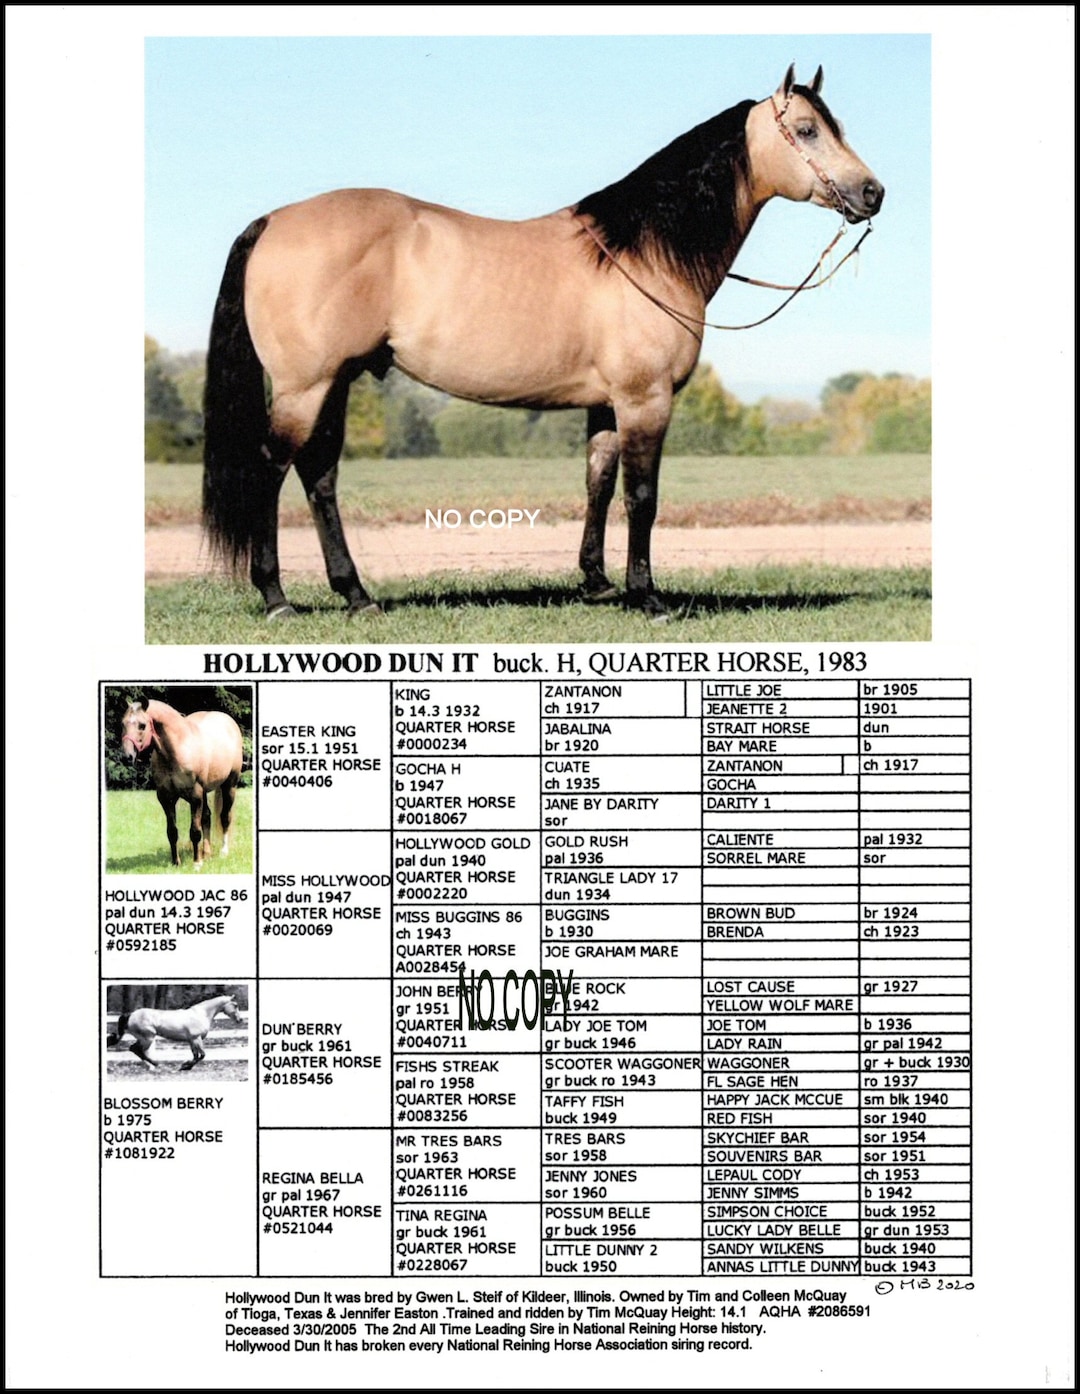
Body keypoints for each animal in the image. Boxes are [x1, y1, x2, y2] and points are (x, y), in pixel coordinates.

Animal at [107, 994, 242, 1071]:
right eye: (235, 1005)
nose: (240, 1020)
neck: (201, 1014)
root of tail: (131, 1015)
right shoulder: (196, 1039)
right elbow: (202, 1055)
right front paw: (185, 1066)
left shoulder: (191, 1040)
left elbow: (196, 1055)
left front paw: (186, 1066)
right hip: (147, 1038)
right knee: (135, 1049)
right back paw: (157, 1064)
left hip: (144, 1038)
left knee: (136, 1050)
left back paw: (155, 1064)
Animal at [120, 699, 243, 866]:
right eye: (123, 723)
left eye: (142, 725)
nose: (127, 757)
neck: (177, 749)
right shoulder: (166, 798)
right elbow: (172, 831)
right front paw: (176, 862)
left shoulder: (195, 796)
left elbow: (195, 831)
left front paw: (197, 863)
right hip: (205, 791)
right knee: (207, 817)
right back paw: (206, 853)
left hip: (229, 785)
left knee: (225, 817)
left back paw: (223, 852)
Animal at [202, 65, 883, 619]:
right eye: (806, 130)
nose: (873, 192)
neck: (642, 251)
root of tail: (273, 221)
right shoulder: (646, 400)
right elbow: (642, 497)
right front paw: (648, 598)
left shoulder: (607, 405)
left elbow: (598, 485)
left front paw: (598, 584)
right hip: (306, 387)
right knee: (270, 470)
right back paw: (277, 598)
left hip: (335, 382)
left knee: (319, 476)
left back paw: (356, 594)